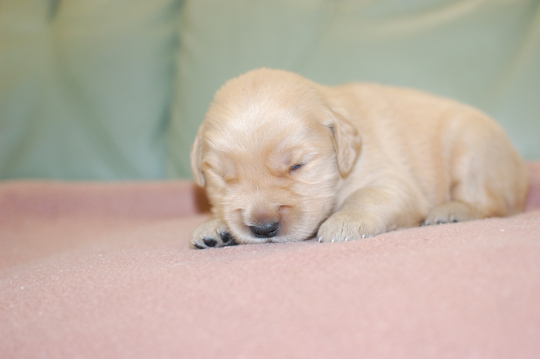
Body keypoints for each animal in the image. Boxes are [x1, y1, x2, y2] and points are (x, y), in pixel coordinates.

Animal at [189, 67, 528, 249]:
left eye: (298, 166)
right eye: (223, 177)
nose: (263, 228)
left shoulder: (392, 180)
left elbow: (367, 196)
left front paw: (345, 222)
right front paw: (214, 226)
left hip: (471, 147)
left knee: (493, 206)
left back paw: (451, 211)